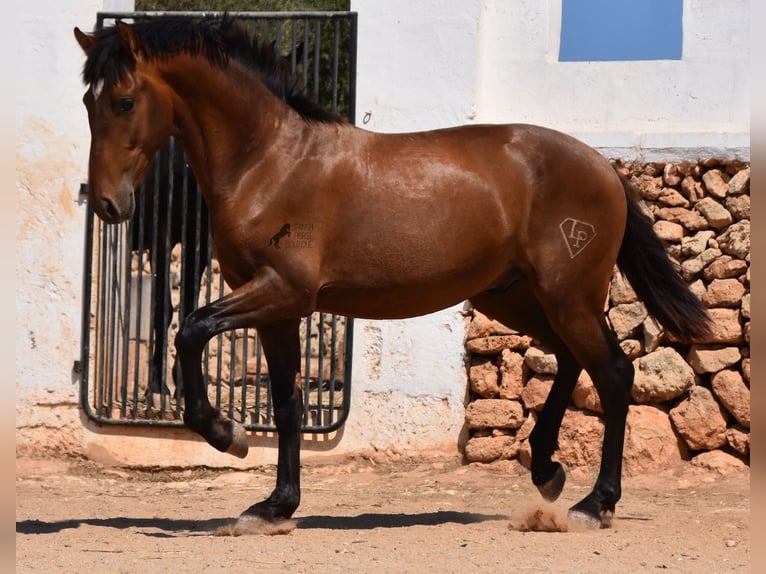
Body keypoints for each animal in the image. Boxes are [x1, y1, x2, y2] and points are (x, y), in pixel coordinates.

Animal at [75, 16, 712, 532]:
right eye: (88, 103)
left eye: (124, 101)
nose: (107, 203)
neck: (269, 162)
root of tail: (603, 166)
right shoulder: (276, 310)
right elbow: (285, 402)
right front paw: (275, 507)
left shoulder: (281, 292)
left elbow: (191, 330)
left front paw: (226, 435)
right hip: (518, 298)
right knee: (571, 359)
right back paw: (547, 470)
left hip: (568, 296)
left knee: (614, 375)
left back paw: (593, 503)